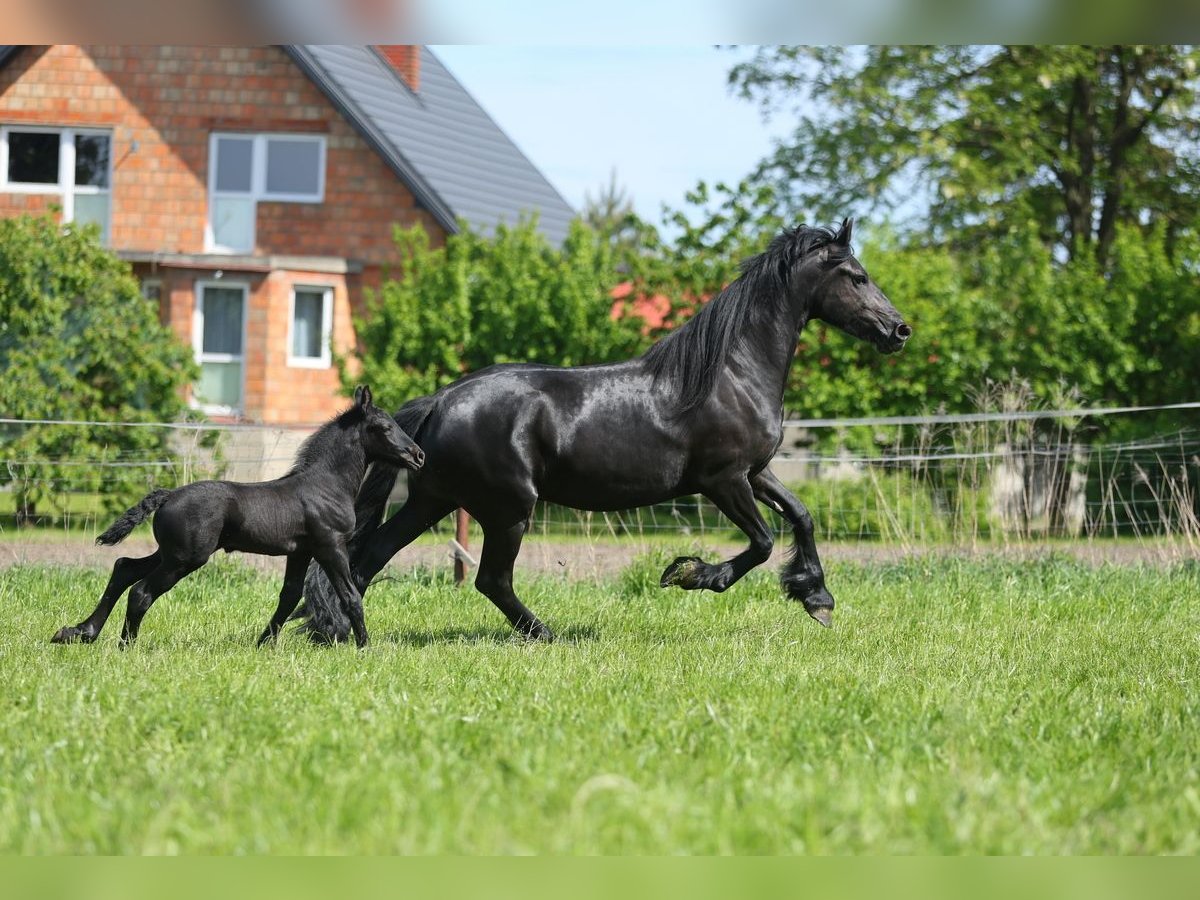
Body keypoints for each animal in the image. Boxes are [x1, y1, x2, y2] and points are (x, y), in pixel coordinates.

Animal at [51, 386, 427, 648]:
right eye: (384, 427)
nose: (418, 456)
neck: (324, 484)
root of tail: (168, 495)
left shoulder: (300, 551)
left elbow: (289, 595)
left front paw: (263, 644)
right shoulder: (329, 546)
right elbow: (350, 596)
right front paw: (365, 647)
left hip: (170, 553)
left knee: (124, 568)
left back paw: (79, 632)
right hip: (185, 558)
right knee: (140, 591)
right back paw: (125, 645)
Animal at [300, 220, 907, 643]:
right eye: (857, 277)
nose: (899, 330)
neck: (730, 372)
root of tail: (441, 402)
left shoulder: (756, 472)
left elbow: (801, 516)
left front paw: (817, 597)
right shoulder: (723, 480)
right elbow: (761, 541)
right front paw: (689, 575)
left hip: (435, 499)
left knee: (370, 558)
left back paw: (333, 631)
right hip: (508, 508)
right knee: (490, 579)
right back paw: (545, 634)